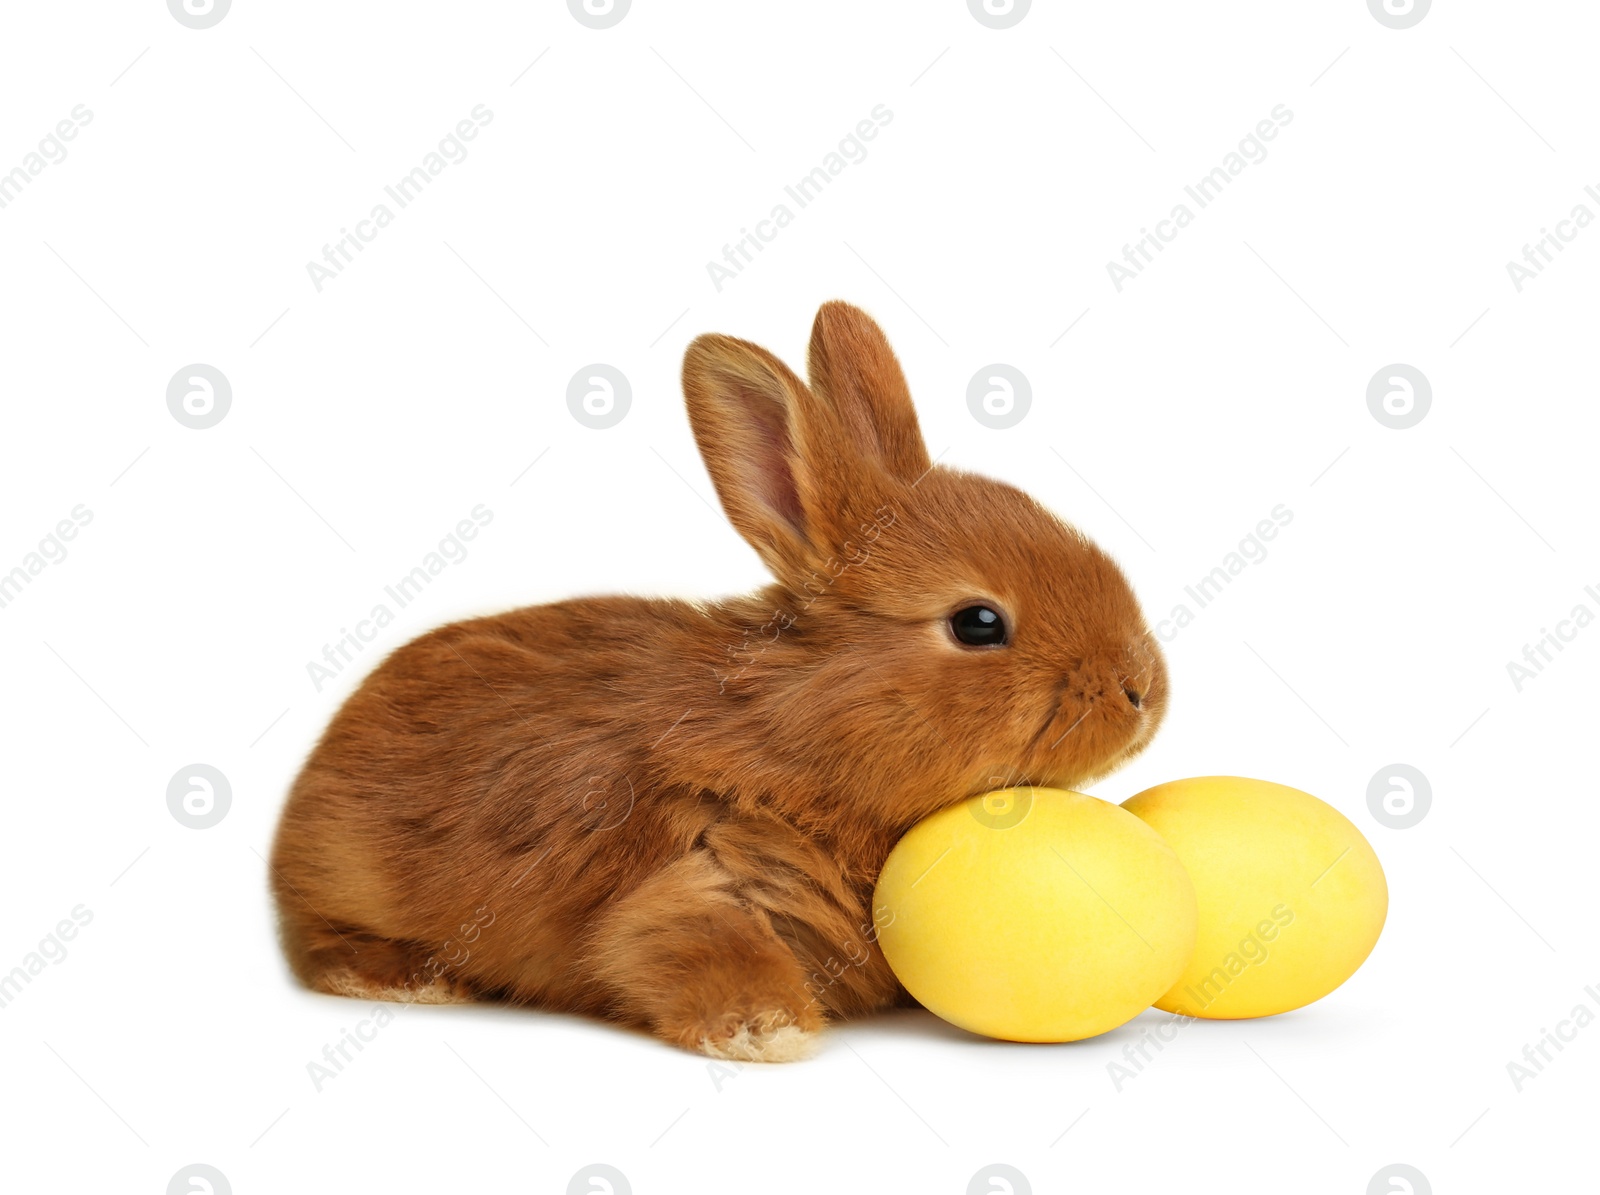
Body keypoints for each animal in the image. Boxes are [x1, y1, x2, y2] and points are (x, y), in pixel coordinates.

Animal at [275, 303, 1171, 1062]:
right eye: (978, 623)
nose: (1143, 692)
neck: (792, 728)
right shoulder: (700, 870)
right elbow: (689, 947)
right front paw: (767, 1031)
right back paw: (408, 979)